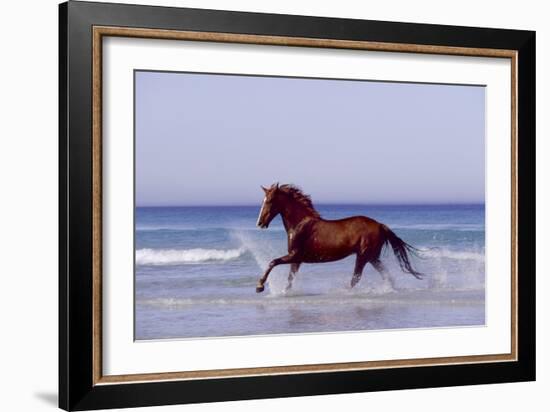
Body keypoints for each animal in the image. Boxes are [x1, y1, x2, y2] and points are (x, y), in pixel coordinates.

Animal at [256, 183, 424, 292]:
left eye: (269, 201)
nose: (260, 223)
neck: (299, 224)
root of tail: (380, 225)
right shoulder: (296, 259)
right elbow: (290, 279)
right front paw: (284, 291)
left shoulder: (295, 255)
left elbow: (272, 262)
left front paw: (260, 286)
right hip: (372, 257)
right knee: (385, 275)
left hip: (363, 256)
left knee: (356, 278)